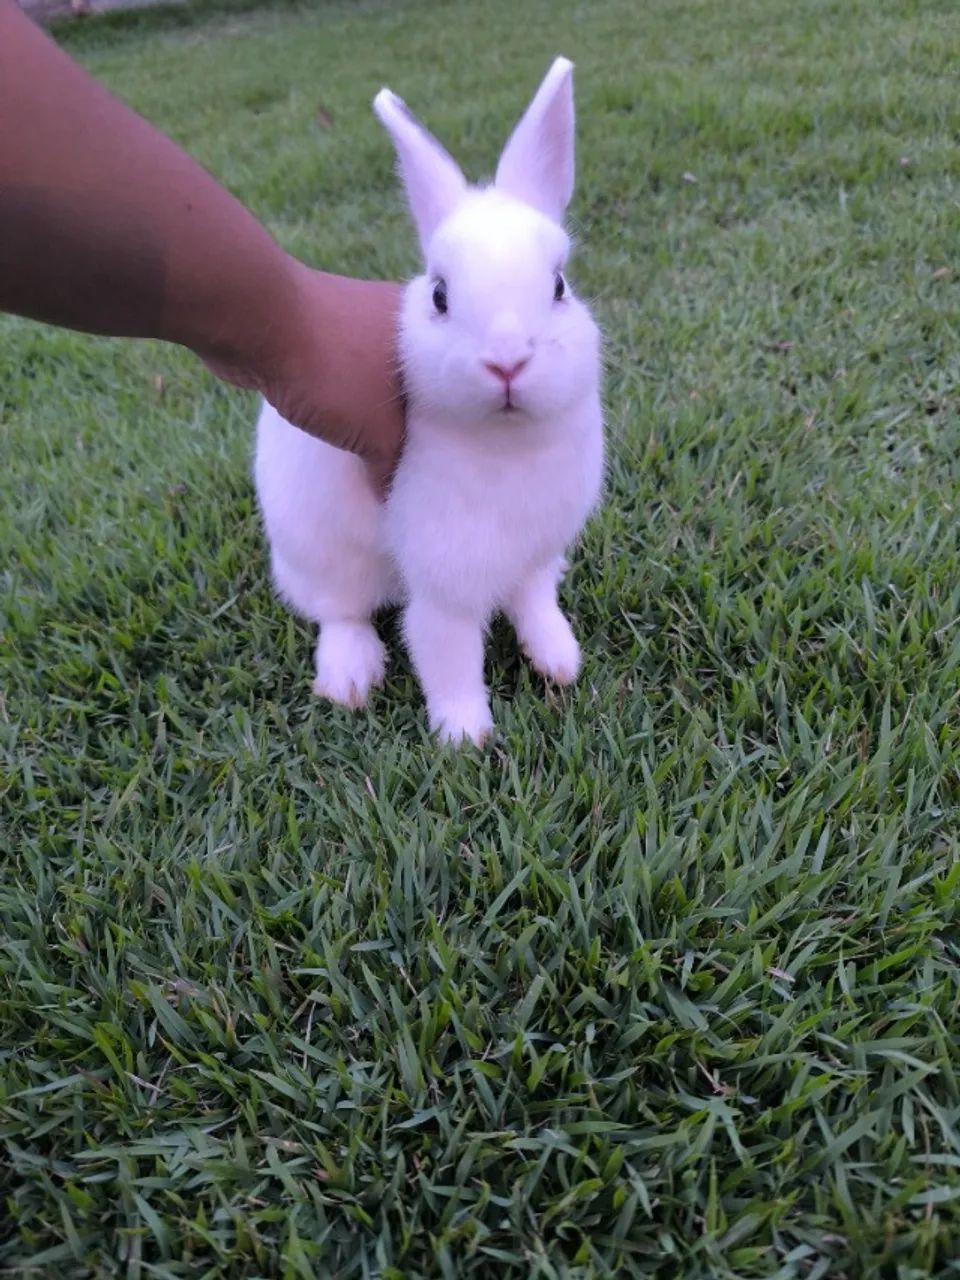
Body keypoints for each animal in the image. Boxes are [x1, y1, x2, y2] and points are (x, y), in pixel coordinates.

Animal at [254, 56, 604, 746]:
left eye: (559, 286)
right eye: (440, 296)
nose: (506, 360)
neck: (509, 444)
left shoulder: (533, 554)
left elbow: (535, 603)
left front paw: (560, 661)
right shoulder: (444, 581)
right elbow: (446, 653)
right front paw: (465, 736)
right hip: (321, 554)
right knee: (340, 612)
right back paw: (350, 678)